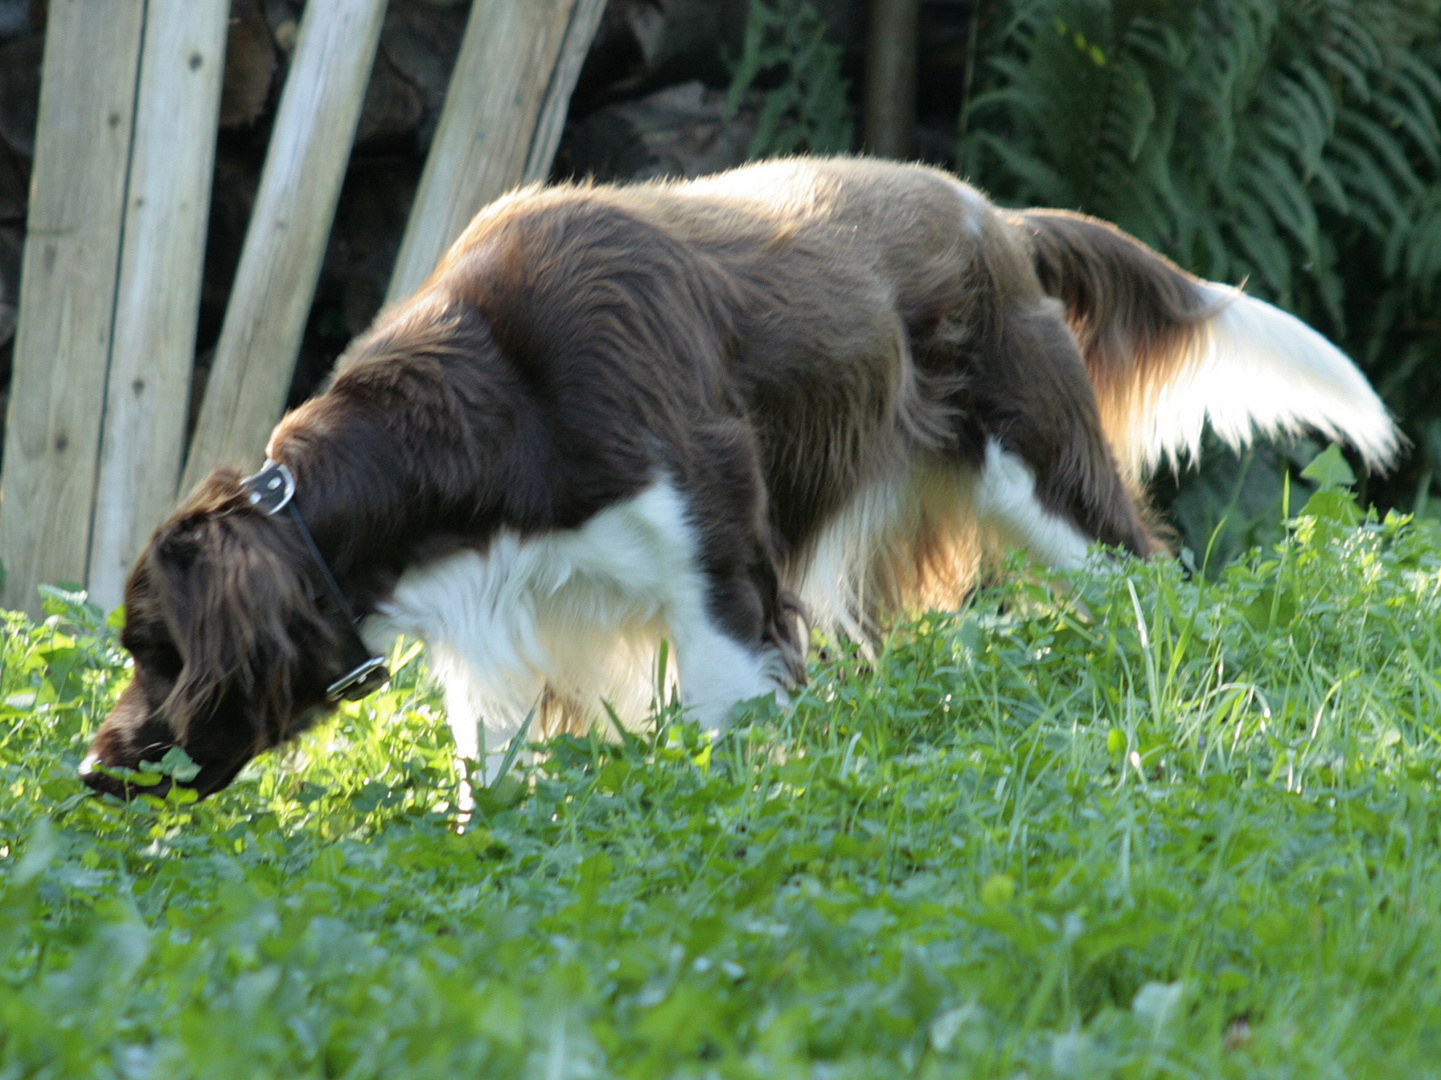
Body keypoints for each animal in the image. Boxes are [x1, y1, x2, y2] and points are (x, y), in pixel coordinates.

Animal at [78, 157, 1394, 801]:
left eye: (157, 648)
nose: (90, 770)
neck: (499, 408)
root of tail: (1000, 219)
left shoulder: (719, 579)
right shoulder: (513, 631)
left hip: (1046, 476)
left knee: (1151, 584)